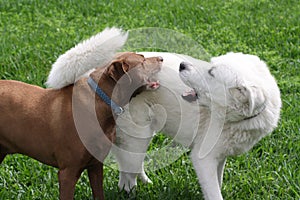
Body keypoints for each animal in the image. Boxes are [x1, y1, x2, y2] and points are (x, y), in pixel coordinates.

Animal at [0, 52, 163, 199]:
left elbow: (99, 194)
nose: (161, 58)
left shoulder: (95, 165)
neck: (100, 101)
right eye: (142, 61)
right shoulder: (68, 172)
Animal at [112, 52, 282, 200]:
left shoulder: (220, 155)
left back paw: (145, 183)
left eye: (211, 72)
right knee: (127, 169)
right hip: (137, 135)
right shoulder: (204, 159)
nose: (182, 65)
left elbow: (218, 182)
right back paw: (129, 190)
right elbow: (215, 194)